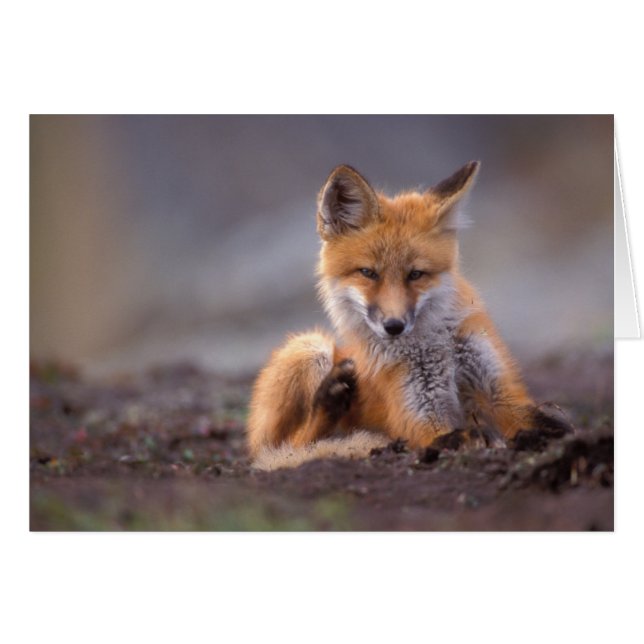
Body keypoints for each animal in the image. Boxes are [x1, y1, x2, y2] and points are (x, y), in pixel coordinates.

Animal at [247, 162, 572, 470]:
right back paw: (329, 401)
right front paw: (483, 438)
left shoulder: (500, 393)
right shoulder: (420, 416)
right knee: (291, 445)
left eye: (416, 274)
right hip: (309, 348)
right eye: (368, 273)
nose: (394, 326)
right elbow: (452, 436)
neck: (436, 345)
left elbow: (549, 422)